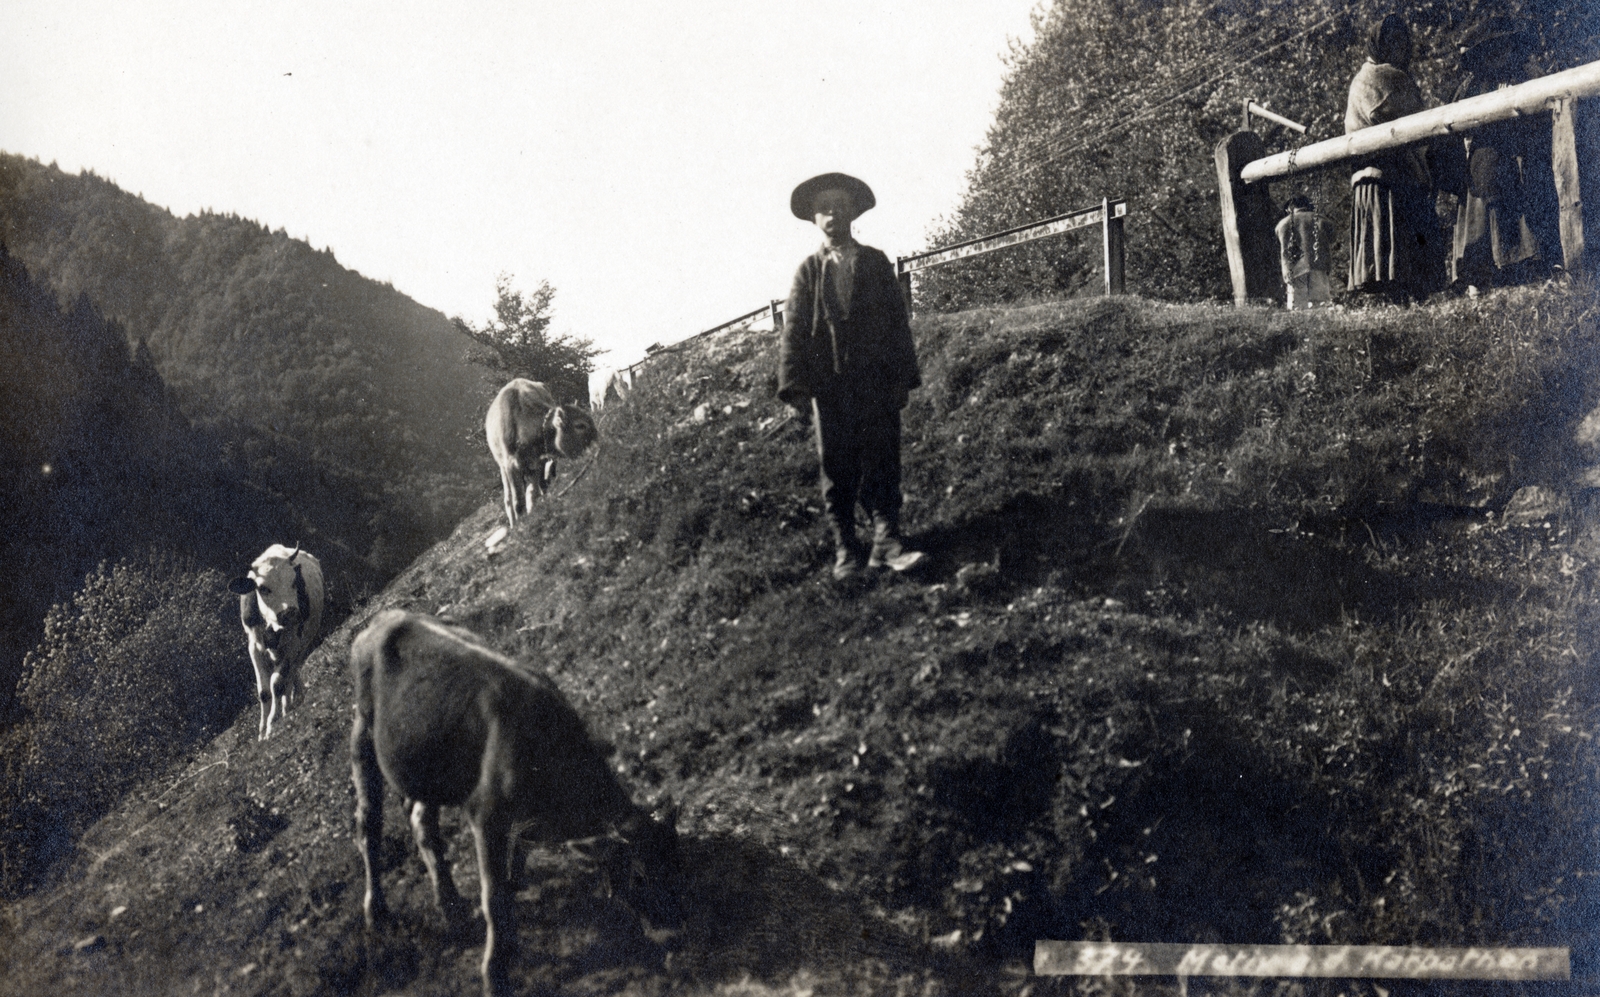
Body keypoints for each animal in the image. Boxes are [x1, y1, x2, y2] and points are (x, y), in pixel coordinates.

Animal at [227, 547, 323, 742]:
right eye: (263, 588)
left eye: (294, 581)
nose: (290, 613)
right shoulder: (254, 646)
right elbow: (264, 692)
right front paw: (262, 732)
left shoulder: (294, 642)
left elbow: (277, 683)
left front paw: (273, 723)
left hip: (303, 643)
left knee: (291, 671)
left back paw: (290, 703)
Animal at [350, 608, 675, 997]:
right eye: (638, 877)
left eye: (676, 864)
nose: (674, 930)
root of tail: (385, 617)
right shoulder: (485, 814)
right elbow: (495, 900)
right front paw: (495, 974)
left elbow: (519, 851)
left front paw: (515, 879)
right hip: (363, 733)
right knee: (368, 824)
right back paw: (377, 912)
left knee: (421, 822)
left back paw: (451, 906)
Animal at [486, 377, 601, 531]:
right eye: (580, 425)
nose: (598, 442)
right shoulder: (511, 465)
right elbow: (518, 501)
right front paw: (521, 526)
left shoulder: (538, 462)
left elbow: (536, 491)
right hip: (502, 467)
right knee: (508, 499)